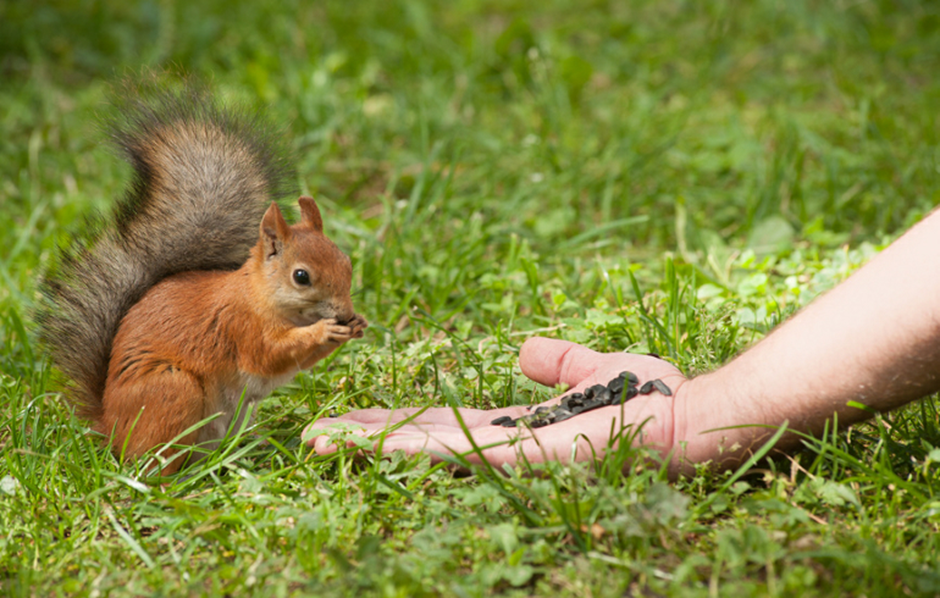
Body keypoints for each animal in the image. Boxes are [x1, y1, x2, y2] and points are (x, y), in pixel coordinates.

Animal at [39, 88, 368, 474]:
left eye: (345, 262)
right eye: (301, 276)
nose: (344, 312)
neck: (261, 296)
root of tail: (110, 427)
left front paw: (355, 325)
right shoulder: (239, 326)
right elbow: (269, 355)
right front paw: (324, 330)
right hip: (172, 390)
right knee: (152, 460)